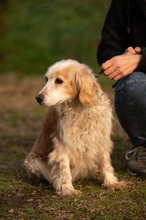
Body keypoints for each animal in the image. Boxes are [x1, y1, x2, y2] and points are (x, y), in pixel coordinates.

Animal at [23, 59, 125, 195]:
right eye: (46, 79)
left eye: (59, 81)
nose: (38, 98)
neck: (80, 107)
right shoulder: (62, 143)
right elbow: (64, 169)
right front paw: (68, 189)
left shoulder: (101, 138)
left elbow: (106, 163)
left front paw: (111, 182)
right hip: (33, 161)